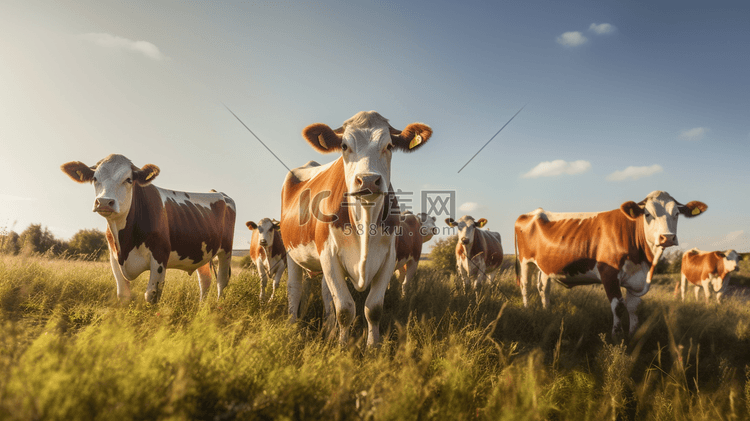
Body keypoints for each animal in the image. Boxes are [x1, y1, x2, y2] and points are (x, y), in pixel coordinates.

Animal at [63, 154, 236, 302]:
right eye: (95, 178)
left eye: (129, 179)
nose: (104, 202)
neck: (125, 242)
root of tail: (217, 192)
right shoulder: (114, 257)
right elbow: (123, 295)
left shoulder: (160, 256)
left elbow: (151, 295)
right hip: (202, 251)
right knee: (205, 280)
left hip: (226, 251)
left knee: (221, 281)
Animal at [280, 110, 434, 344]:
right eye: (344, 146)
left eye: (389, 146)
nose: (368, 180)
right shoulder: (329, 255)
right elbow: (345, 309)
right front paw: (343, 346)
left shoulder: (388, 257)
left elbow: (373, 308)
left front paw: (373, 345)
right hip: (292, 251)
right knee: (294, 289)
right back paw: (291, 325)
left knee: (325, 293)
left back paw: (328, 329)